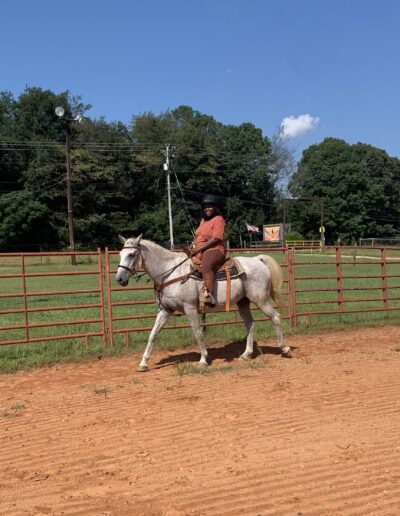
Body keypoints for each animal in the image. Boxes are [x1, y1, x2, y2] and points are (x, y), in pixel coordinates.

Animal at [115, 234, 290, 370]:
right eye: (120, 254)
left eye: (131, 255)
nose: (120, 279)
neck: (171, 273)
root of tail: (257, 259)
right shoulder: (165, 310)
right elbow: (153, 334)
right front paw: (143, 363)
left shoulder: (190, 308)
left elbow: (198, 332)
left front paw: (203, 359)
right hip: (243, 302)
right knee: (250, 324)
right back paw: (246, 354)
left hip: (261, 300)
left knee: (275, 317)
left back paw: (284, 348)